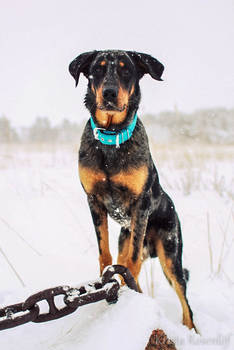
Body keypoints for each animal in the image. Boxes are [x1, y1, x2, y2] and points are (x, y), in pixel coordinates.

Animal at [69, 50, 196, 330]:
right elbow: (105, 253)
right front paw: (106, 280)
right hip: (124, 239)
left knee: (185, 301)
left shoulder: (140, 203)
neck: (111, 138)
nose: (109, 92)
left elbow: (133, 260)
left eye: (126, 70)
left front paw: (129, 283)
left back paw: (190, 329)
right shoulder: (93, 200)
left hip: (171, 251)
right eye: (97, 69)